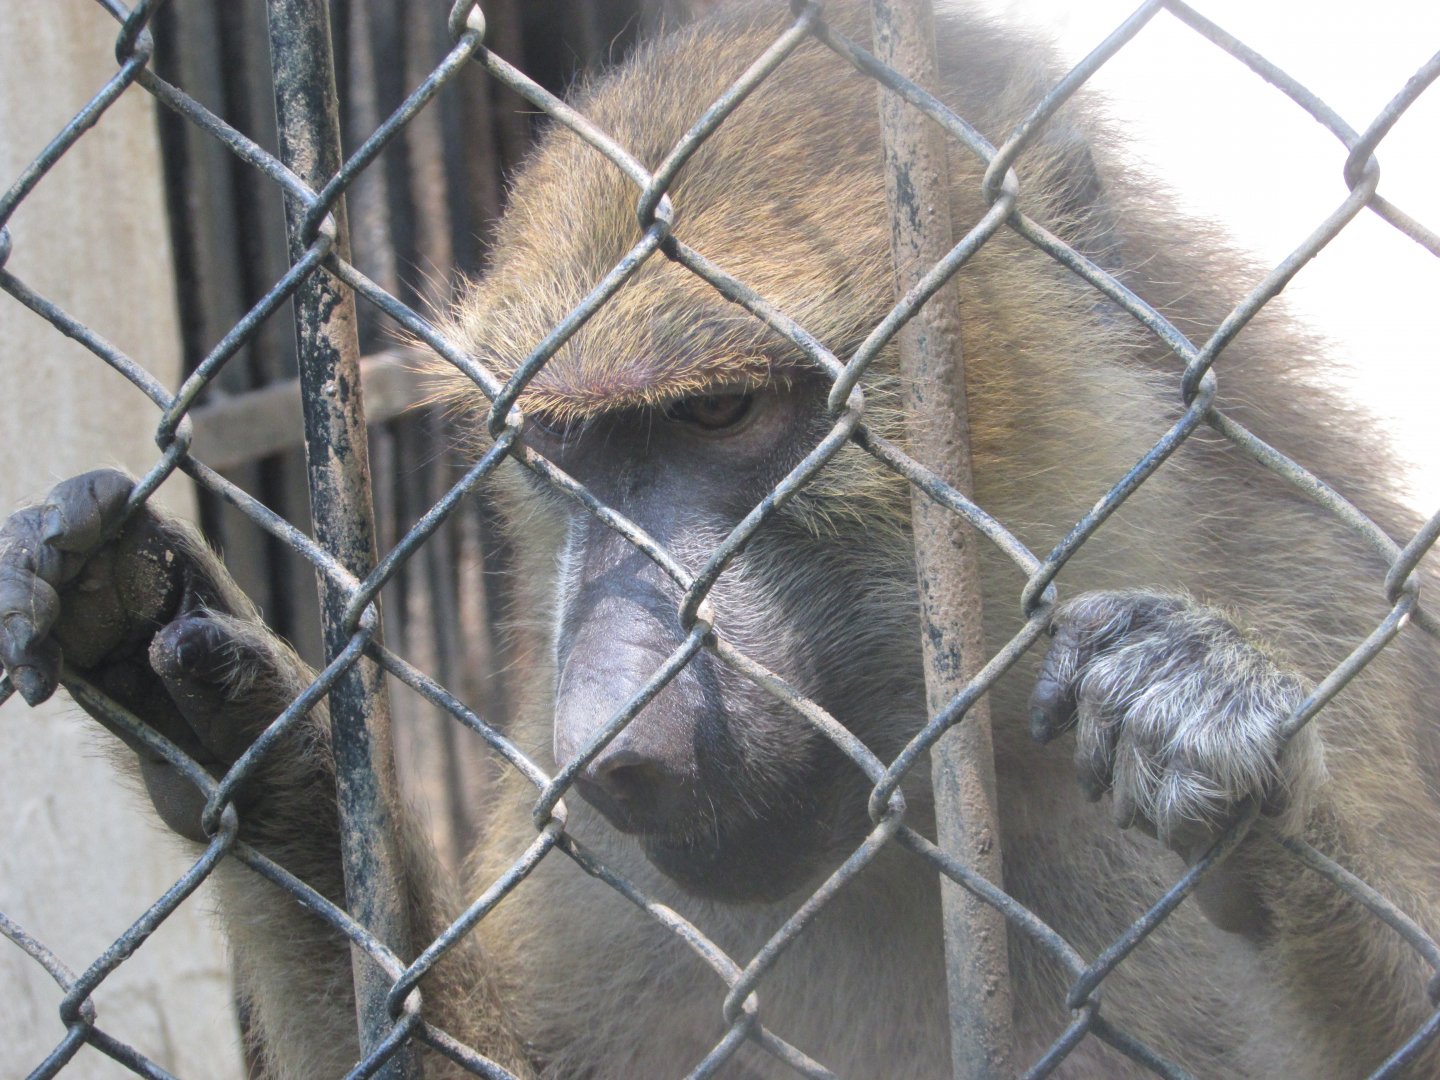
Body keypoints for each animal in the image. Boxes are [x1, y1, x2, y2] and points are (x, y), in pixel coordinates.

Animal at [2, 1, 1439, 1077]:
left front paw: (1211, 746)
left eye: (721, 412)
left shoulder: (1312, 603)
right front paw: (232, 727)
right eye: (563, 450)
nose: (615, 749)